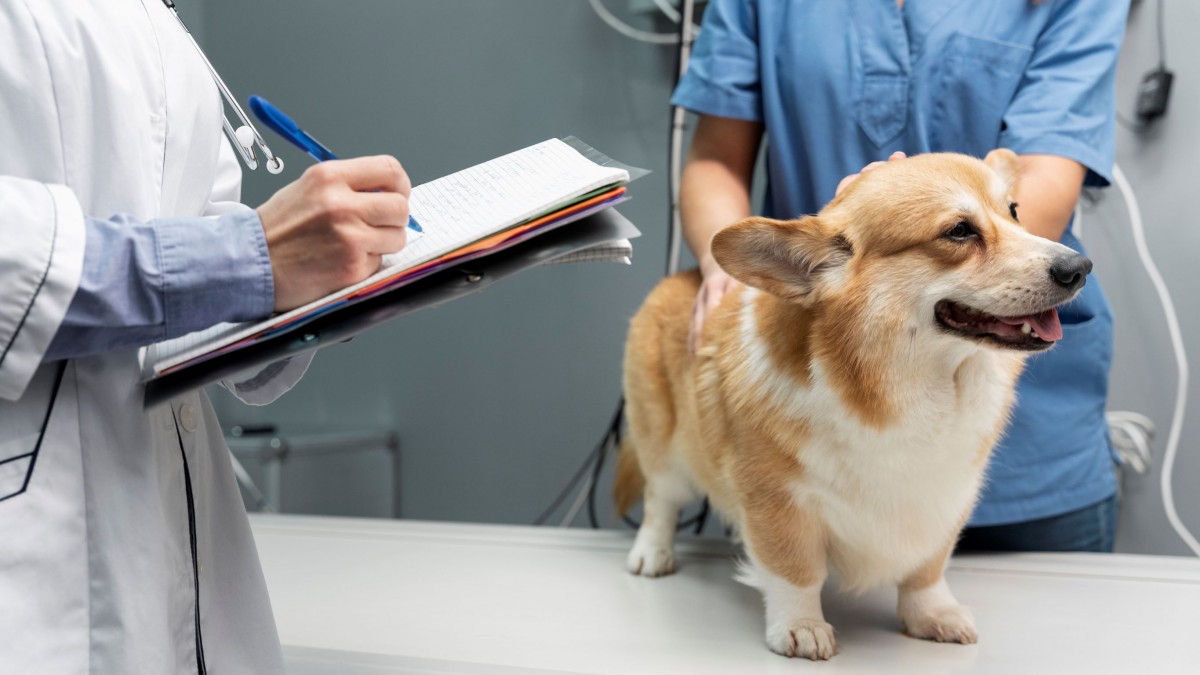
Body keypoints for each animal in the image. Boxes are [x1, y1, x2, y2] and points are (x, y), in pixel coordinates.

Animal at [614, 148, 1094, 658]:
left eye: (1015, 212)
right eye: (959, 231)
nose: (1080, 267)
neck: (906, 389)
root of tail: (675, 279)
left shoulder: (946, 498)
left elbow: (927, 572)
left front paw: (933, 615)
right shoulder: (777, 500)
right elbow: (794, 571)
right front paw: (800, 627)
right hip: (664, 447)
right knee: (660, 500)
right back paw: (652, 554)